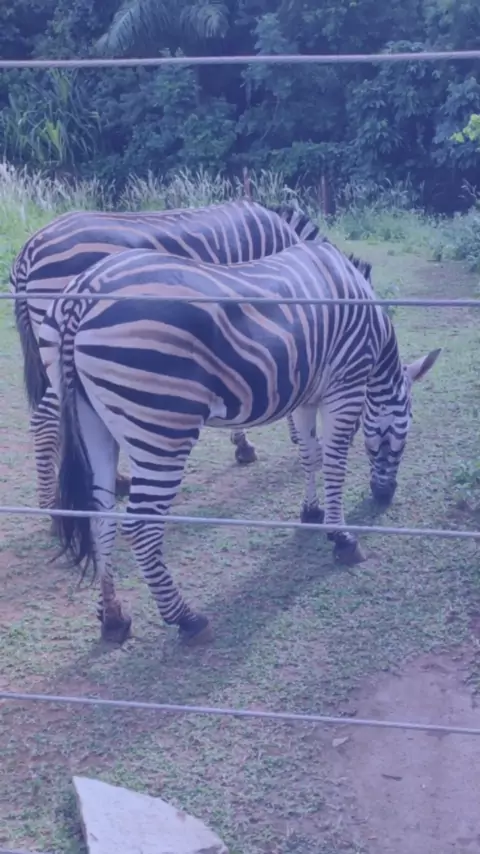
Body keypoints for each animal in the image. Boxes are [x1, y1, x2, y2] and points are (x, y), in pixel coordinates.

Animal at [11, 199, 324, 521]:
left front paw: (244, 443)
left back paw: (114, 483)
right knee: (46, 419)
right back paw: (53, 505)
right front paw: (268, 440)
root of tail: (27, 251)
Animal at [43, 239, 441, 646]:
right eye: (400, 436)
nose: (384, 497)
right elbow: (333, 463)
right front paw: (342, 537)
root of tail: (84, 293)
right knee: (140, 526)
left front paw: (311, 512)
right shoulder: (345, 384)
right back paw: (187, 619)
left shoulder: (308, 393)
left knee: (99, 515)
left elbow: (309, 455)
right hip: (162, 426)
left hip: (93, 422)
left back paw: (113, 618)